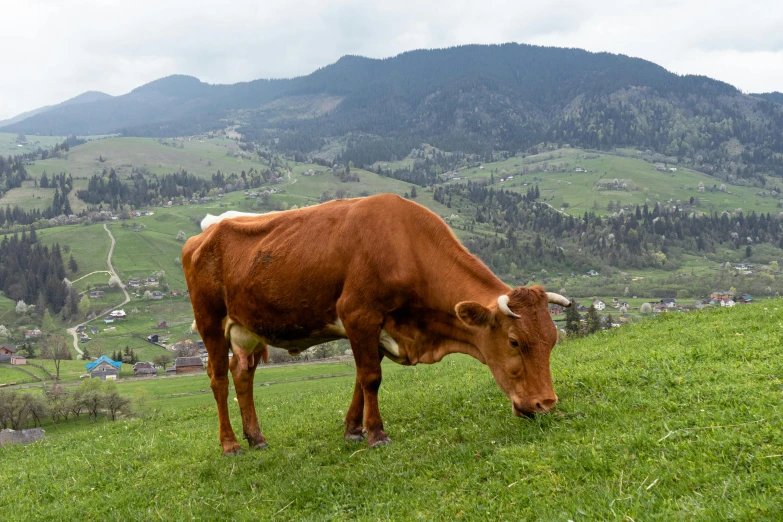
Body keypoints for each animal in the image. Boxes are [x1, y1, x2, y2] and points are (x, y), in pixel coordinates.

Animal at [183, 193, 568, 452]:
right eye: (515, 341)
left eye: (553, 339)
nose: (546, 404)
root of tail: (207, 230)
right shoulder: (358, 313)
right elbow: (371, 377)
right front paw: (377, 434)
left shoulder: (379, 326)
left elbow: (360, 377)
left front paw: (354, 429)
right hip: (209, 321)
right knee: (218, 378)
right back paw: (230, 444)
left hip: (247, 328)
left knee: (242, 374)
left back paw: (256, 437)